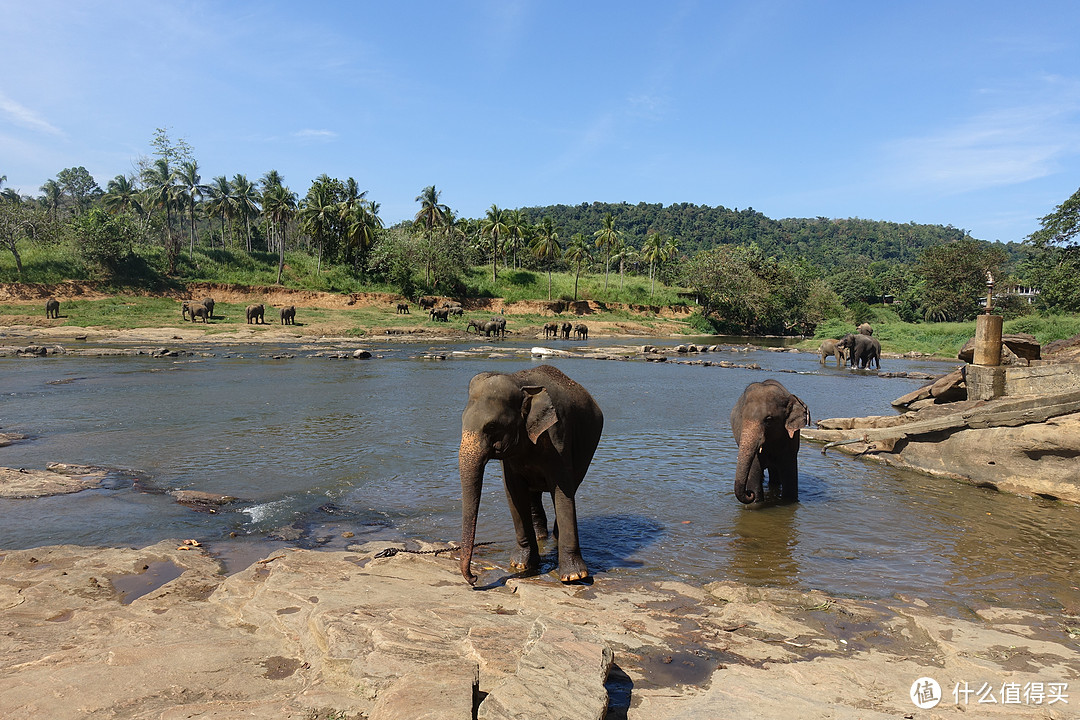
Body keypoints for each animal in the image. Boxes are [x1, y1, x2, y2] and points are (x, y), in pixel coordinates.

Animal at [457, 367, 609, 587]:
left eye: (492, 426)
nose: (474, 578)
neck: (519, 382)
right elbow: (514, 493)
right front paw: (521, 565)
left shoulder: (557, 437)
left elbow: (562, 491)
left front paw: (574, 577)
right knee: (533, 495)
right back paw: (540, 536)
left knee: (570, 488)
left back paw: (555, 536)